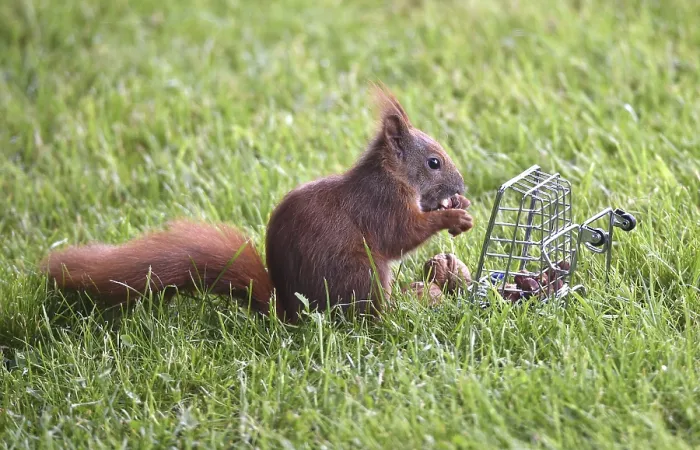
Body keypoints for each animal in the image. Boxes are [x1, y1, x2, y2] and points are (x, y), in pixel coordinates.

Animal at [41, 86, 474, 323]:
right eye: (434, 162)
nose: (461, 184)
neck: (393, 175)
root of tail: (291, 314)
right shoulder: (381, 204)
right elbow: (403, 234)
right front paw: (454, 214)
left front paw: (458, 204)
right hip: (362, 274)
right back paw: (404, 308)